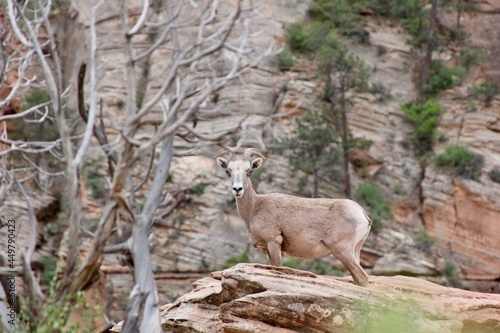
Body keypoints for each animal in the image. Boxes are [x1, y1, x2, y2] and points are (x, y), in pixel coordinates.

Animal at [215, 148, 372, 286]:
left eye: (249, 171)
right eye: (228, 172)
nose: (237, 189)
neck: (255, 208)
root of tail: (362, 214)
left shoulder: (274, 242)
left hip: (343, 251)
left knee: (362, 278)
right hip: (355, 252)